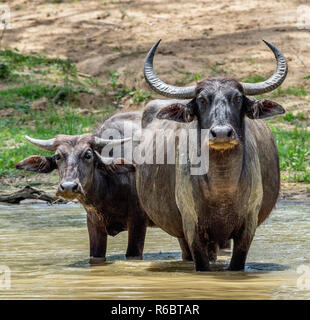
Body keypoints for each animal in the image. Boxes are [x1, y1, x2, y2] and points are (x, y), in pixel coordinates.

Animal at [136, 39, 288, 270]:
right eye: (201, 100)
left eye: (237, 98)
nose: (222, 133)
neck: (222, 190)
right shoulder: (192, 227)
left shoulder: (247, 227)